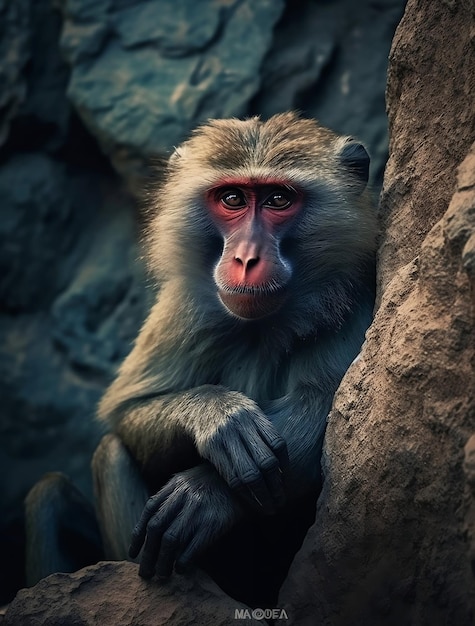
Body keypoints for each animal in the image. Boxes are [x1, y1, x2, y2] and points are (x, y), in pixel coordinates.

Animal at [25, 112, 376, 604]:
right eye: (232, 198)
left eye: (278, 199)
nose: (245, 259)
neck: (263, 327)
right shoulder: (184, 306)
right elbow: (127, 411)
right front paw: (217, 416)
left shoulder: (357, 292)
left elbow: (334, 412)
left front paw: (205, 494)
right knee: (79, 475)